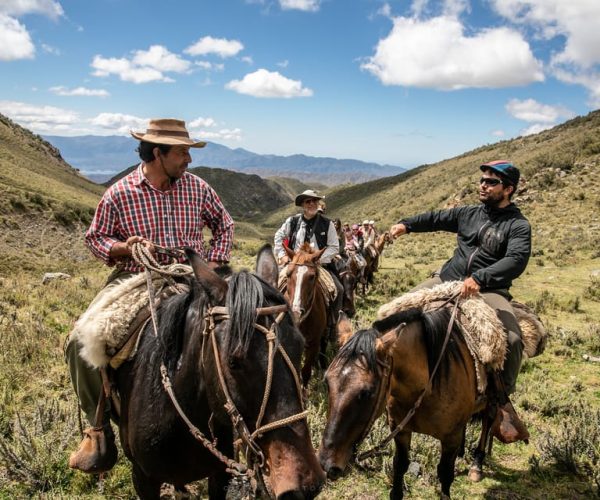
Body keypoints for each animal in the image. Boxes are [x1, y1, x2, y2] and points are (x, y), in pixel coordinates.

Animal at [318, 310, 492, 498]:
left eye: (368, 392)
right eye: (327, 382)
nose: (327, 464)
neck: (427, 386)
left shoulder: (450, 439)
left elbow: (445, 474)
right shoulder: (400, 431)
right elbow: (400, 465)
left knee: (488, 422)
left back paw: (477, 465)